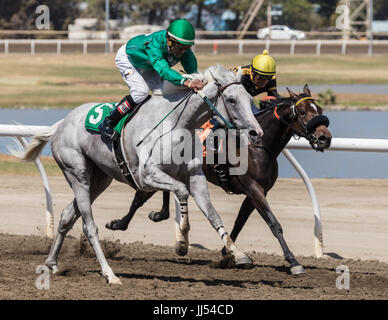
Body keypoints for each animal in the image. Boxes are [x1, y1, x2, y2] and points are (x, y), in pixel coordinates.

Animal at [12, 63, 262, 284]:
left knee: (66, 216)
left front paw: (239, 254)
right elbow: (181, 192)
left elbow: (213, 215)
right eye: (231, 100)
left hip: (99, 180)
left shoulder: (195, 177)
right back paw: (110, 274)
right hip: (77, 174)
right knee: (88, 226)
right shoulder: (147, 176)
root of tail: (62, 123)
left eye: (250, 99)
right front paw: (182, 242)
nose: (256, 133)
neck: (177, 123)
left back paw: (52, 263)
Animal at [107, 85, 334, 276]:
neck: (256, 147)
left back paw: (155, 215)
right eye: (302, 111)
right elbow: (274, 224)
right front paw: (293, 262)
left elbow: (239, 223)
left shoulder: (253, 194)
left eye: (320, 108)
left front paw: (228, 254)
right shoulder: (254, 189)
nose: (325, 137)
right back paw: (118, 223)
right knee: (139, 198)